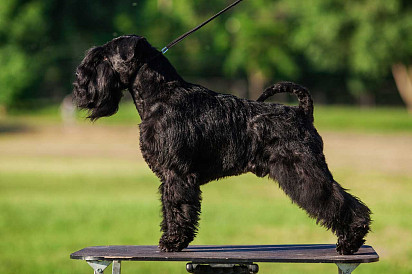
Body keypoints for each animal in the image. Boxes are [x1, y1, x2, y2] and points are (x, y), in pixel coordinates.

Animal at [72, 34, 372, 255]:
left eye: (101, 56)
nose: (78, 83)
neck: (160, 96)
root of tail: (302, 112)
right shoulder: (168, 177)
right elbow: (169, 208)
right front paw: (171, 238)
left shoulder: (177, 174)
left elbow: (178, 207)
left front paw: (173, 242)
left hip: (304, 170)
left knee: (338, 199)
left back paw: (351, 241)